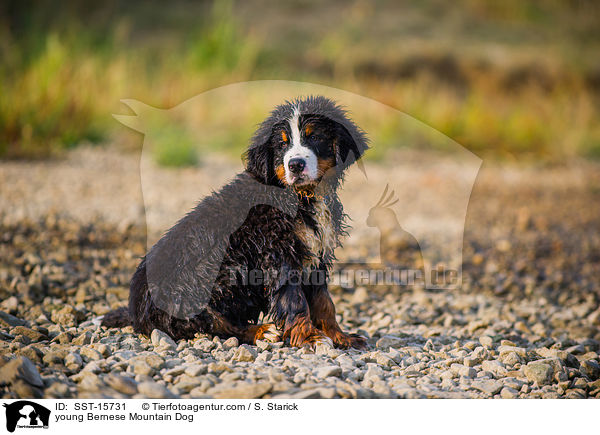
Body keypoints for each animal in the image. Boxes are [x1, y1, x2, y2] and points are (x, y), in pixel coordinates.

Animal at [101, 96, 368, 350]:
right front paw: (310, 338)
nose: (295, 165)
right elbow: (294, 301)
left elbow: (324, 302)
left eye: (315, 137)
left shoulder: (315, 252)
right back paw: (262, 331)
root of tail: (135, 312)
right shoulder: (278, 254)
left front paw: (340, 336)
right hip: (192, 290)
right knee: (218, 326)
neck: (301, 195)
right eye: (282, 144)